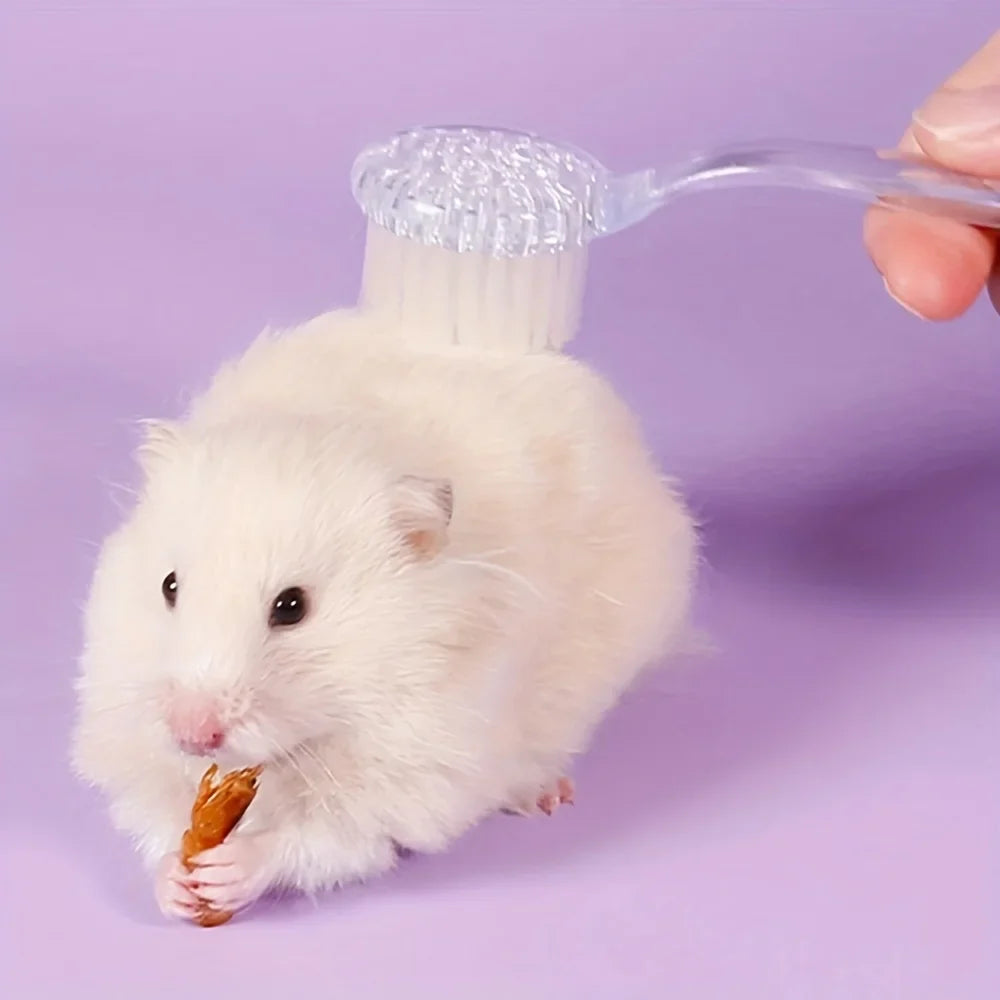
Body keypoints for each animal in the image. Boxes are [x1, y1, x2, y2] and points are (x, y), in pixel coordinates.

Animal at [70, 308, 697, 922]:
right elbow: (155, 814)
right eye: (169, 586)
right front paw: (176, 884)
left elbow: (325, 837)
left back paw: (544, 795)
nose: (192, 733)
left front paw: (226, 871)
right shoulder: (130, 733)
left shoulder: (415, 773)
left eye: (292, 607)